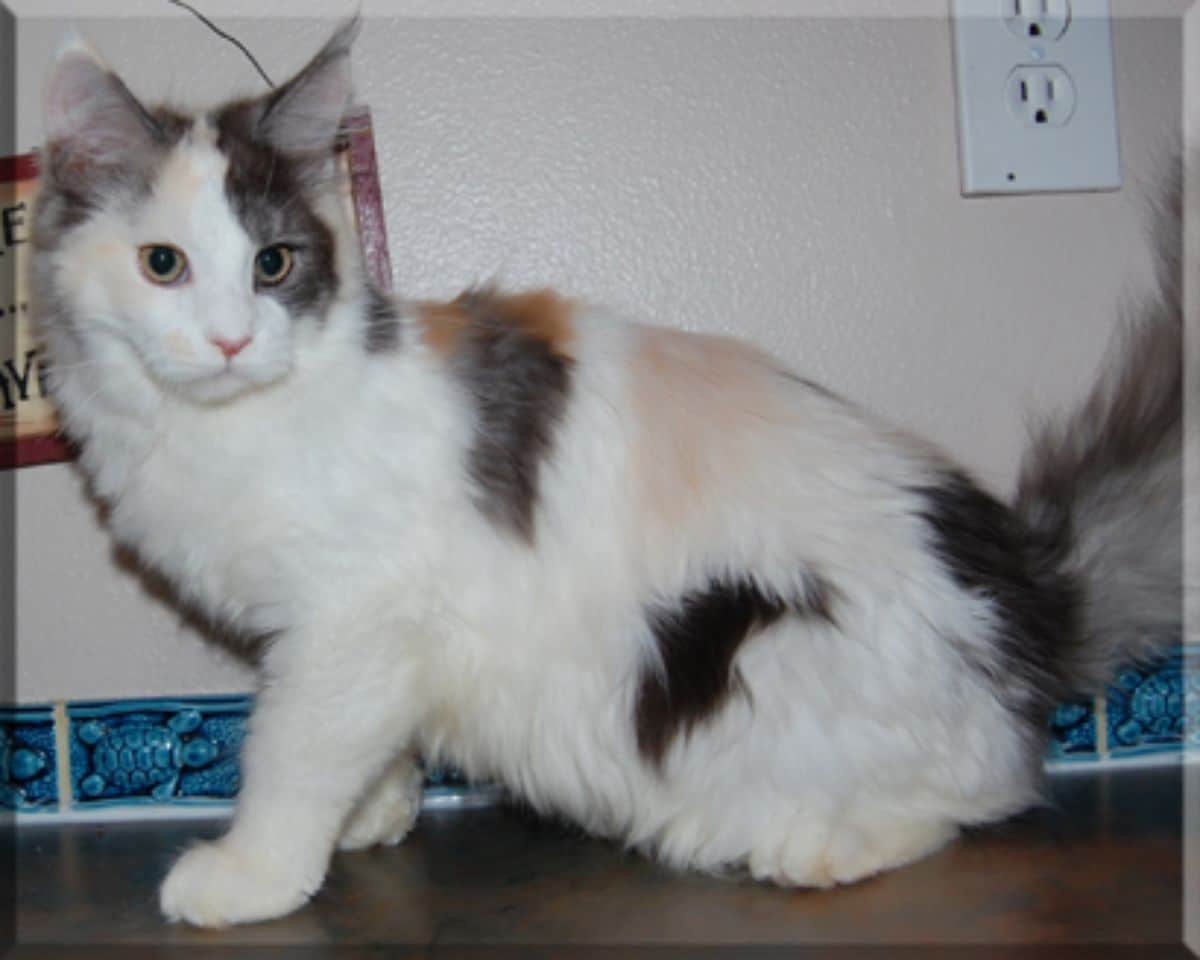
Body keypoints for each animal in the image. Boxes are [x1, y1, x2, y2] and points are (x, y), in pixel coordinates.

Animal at [28, 18, 1180, 926]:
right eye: (163, 264)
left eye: (273, 265)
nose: (229, 341)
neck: (227, 423)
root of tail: (1032, 593)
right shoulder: (364, 641)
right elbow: (367, 741)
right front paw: (376, 812)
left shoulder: (352, 617)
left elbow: (290, 751)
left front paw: (254, 871)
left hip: (760, 657)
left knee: (984, 795)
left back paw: (816, 845)